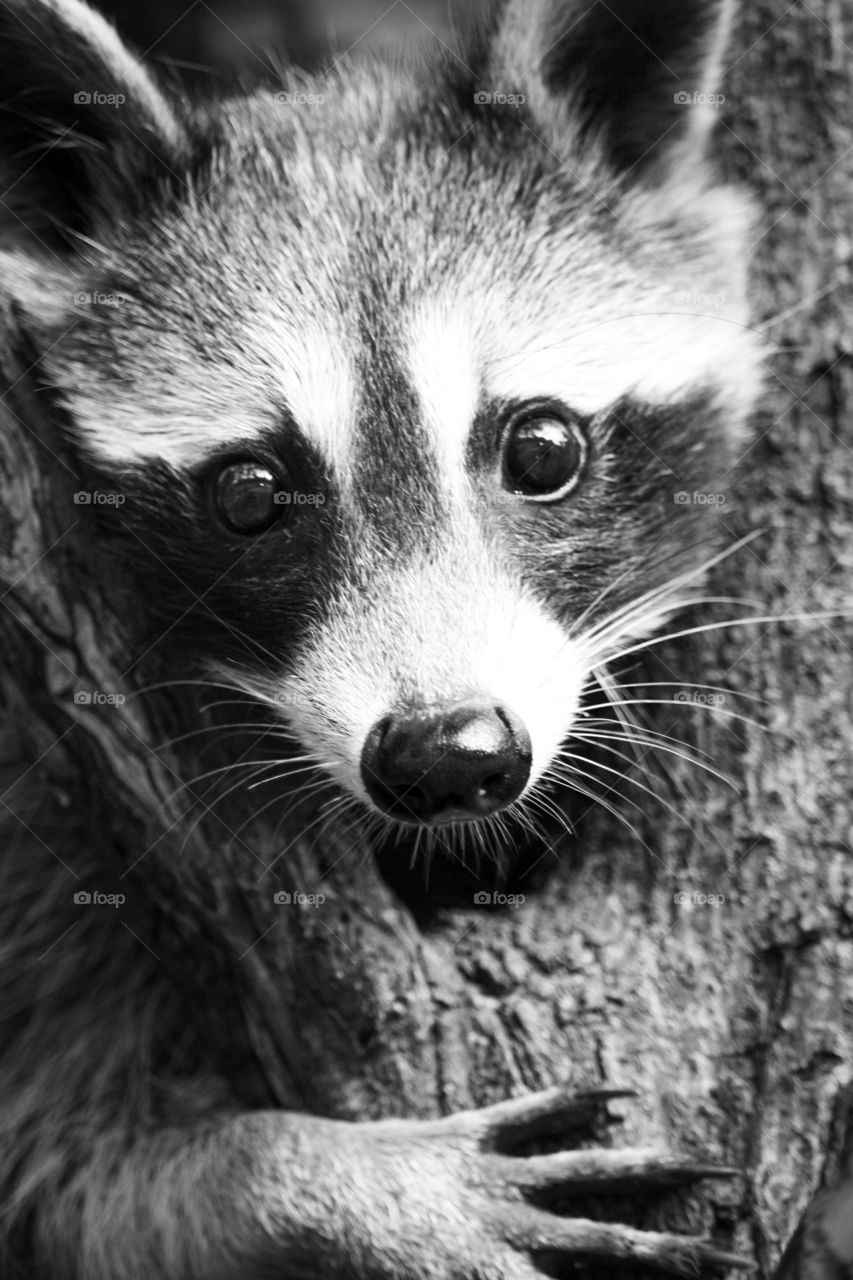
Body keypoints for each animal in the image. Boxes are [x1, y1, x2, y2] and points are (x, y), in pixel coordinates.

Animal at [0, 0, 763, 1274]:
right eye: (249, 493)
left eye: (542, 447)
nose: (448, 755)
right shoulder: (36, 844)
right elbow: (62, 1182)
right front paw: (324, 1175)